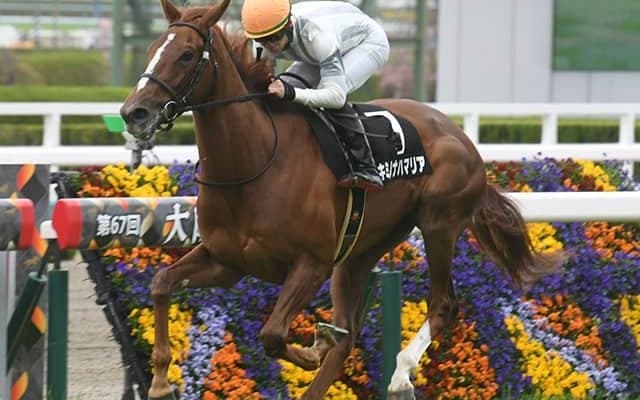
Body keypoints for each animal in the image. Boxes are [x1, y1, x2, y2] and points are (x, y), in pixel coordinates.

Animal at [120, 0, 562, 398]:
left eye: (186, 54)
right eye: (151, 48)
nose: (133, 113)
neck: (254, 164)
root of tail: (462, 137)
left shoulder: (311, 263)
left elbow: (274, 334)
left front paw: (312, 349)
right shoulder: (226, 262)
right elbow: (161, 283)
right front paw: (159, 381)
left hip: (439, 223)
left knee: (442, 304)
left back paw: (400, 375)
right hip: (359, 252)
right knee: (349, 335)